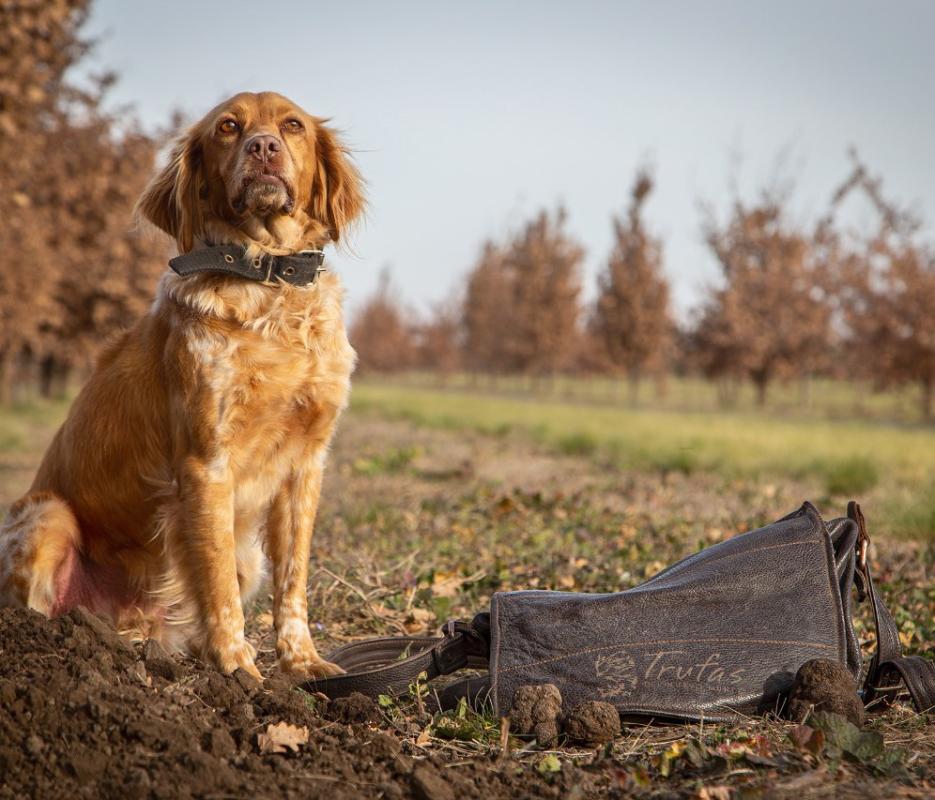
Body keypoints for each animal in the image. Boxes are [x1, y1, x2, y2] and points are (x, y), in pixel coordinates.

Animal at [0, 94, 366, 680]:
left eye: (292, 125)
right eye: (228, 127)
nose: (264, 147)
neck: (268, 284)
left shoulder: (305, 467)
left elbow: (293, 583)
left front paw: (302, 661)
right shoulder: (205, 463)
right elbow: (216, 583)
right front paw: (239, 669)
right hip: (47, 517)